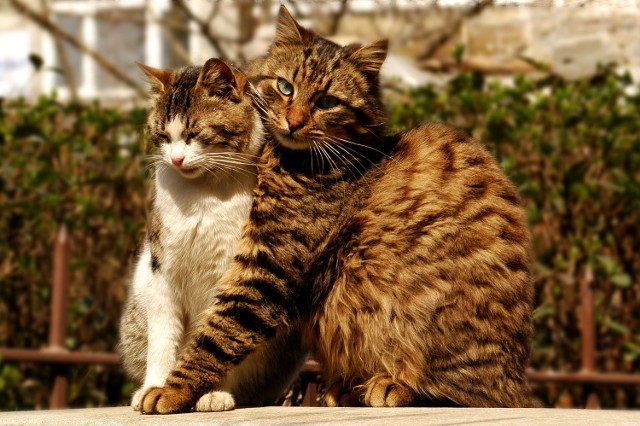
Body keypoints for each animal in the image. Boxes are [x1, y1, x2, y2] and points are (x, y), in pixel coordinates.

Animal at [120, 58, 310, 412]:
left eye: (195, 134)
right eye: (163, 135)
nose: (176, 159)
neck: (202, 193)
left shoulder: (231, 274)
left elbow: (216, 339)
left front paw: (211, 394)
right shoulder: (162, 273)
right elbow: (163, 339)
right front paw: (154, 388)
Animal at [141, 6, 540, 412]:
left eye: (327, 102)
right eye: (285, 87)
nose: (294, 122)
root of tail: (515, 381)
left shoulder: (269, 267)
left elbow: (217, 335)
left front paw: (171, 391)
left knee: (457, 394)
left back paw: (390, 386)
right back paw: (348, 390)